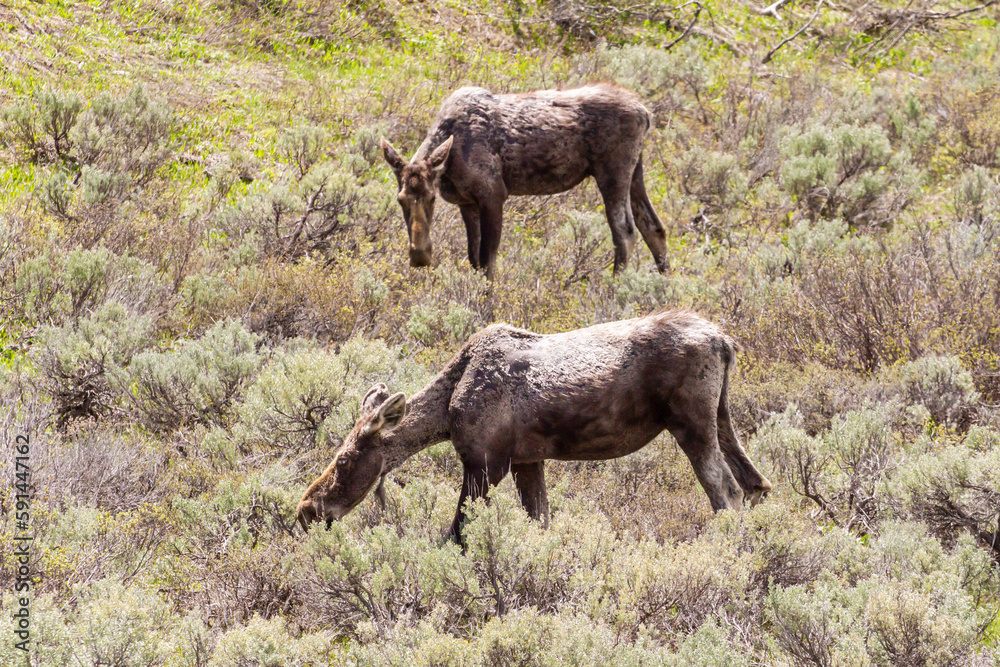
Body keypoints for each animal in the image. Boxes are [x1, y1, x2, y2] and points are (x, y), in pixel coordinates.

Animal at [296, 310, 772, 540]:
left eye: (343, 461)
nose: (306, 510)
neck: (447, 412)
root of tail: (725, 342)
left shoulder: (486, 462)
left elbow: (456, 534)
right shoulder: (528, 461)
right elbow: (540, 522)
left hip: (690, 422)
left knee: (726, 491)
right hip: (721, 415)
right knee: (756, 483)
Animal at [382, 83, 672, 280]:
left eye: (432, 198)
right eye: (400, 200)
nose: (420, 255)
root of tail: (646, 114)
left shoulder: (493, 194)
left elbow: (487, 262)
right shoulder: (468, 202)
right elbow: (473, 259)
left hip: (612, 170)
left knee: (625, 232)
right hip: (635, 169)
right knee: (654, 226)